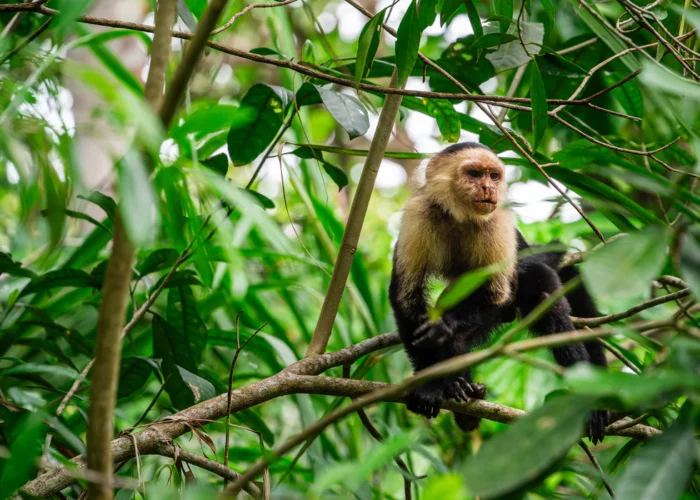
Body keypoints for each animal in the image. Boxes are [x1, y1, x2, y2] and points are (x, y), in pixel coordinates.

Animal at [389, 142, 609, 444]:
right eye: (474, 173)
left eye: (493, 176)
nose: (488, 188)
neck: (460, 215)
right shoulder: (418, 213)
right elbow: (406, 298)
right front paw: (430, 384)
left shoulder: (498, 221)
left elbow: (497, 292)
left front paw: (443, 325)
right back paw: (460, 391)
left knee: (540, 287)